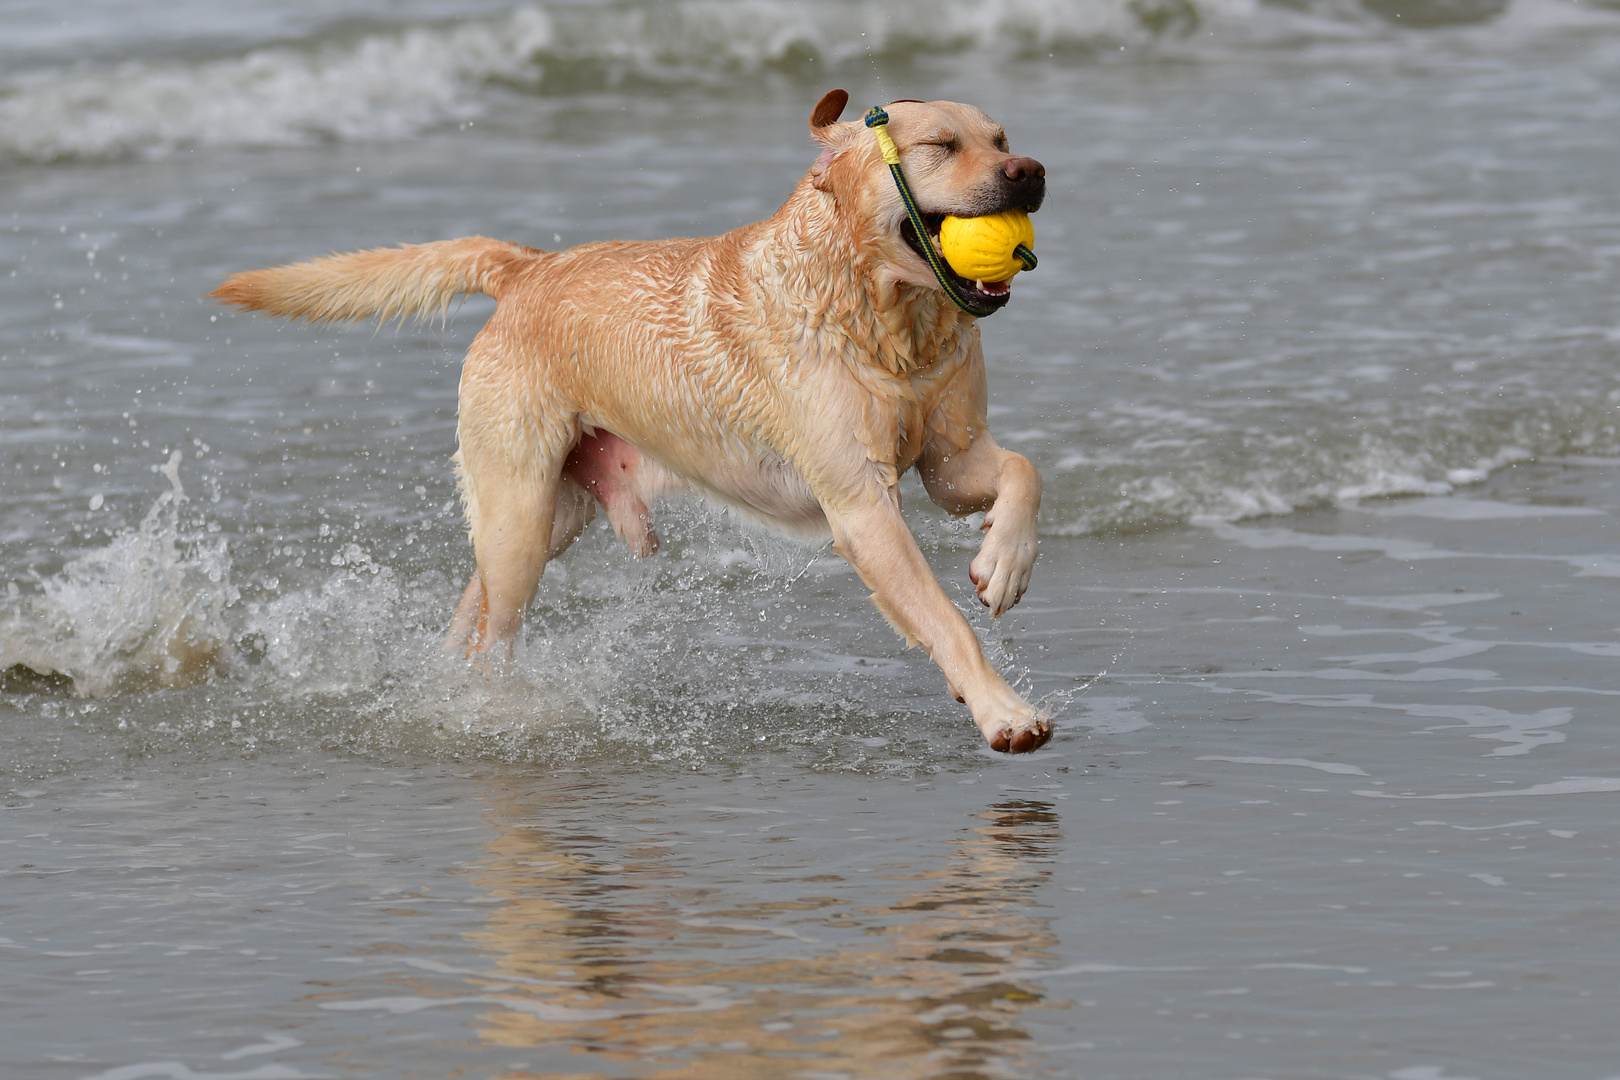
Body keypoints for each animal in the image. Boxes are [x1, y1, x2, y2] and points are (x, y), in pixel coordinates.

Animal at [212, 90, 1049, 751]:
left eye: (1002, 138)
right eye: (941, 145)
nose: (1032, 172)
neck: (891, 322)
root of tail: (524, 268)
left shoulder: (950, 460)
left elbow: (1023, 471)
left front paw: (1004, 564)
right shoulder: (861, 504)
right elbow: (944, 619)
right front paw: (1004, 711)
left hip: (549, 516)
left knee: (471, 609)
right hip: (519, 516)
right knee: (496, 632)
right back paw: (490, 711)